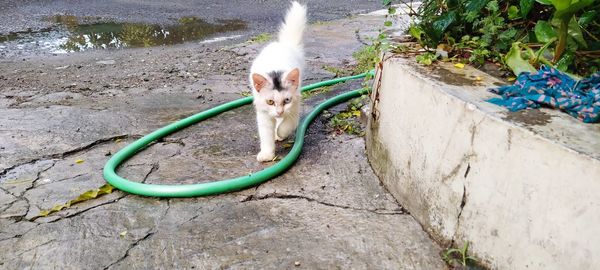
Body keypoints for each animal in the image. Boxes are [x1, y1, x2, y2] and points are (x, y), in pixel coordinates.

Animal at [250, 1, 308, 162]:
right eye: (270, 101)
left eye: (287, 100)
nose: (279, 112)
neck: (275, 70)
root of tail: (283, 44)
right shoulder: (263, 112)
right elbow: (266, 134)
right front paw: (267, 154)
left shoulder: (295, 104)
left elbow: (288, 124)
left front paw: (281, 133)